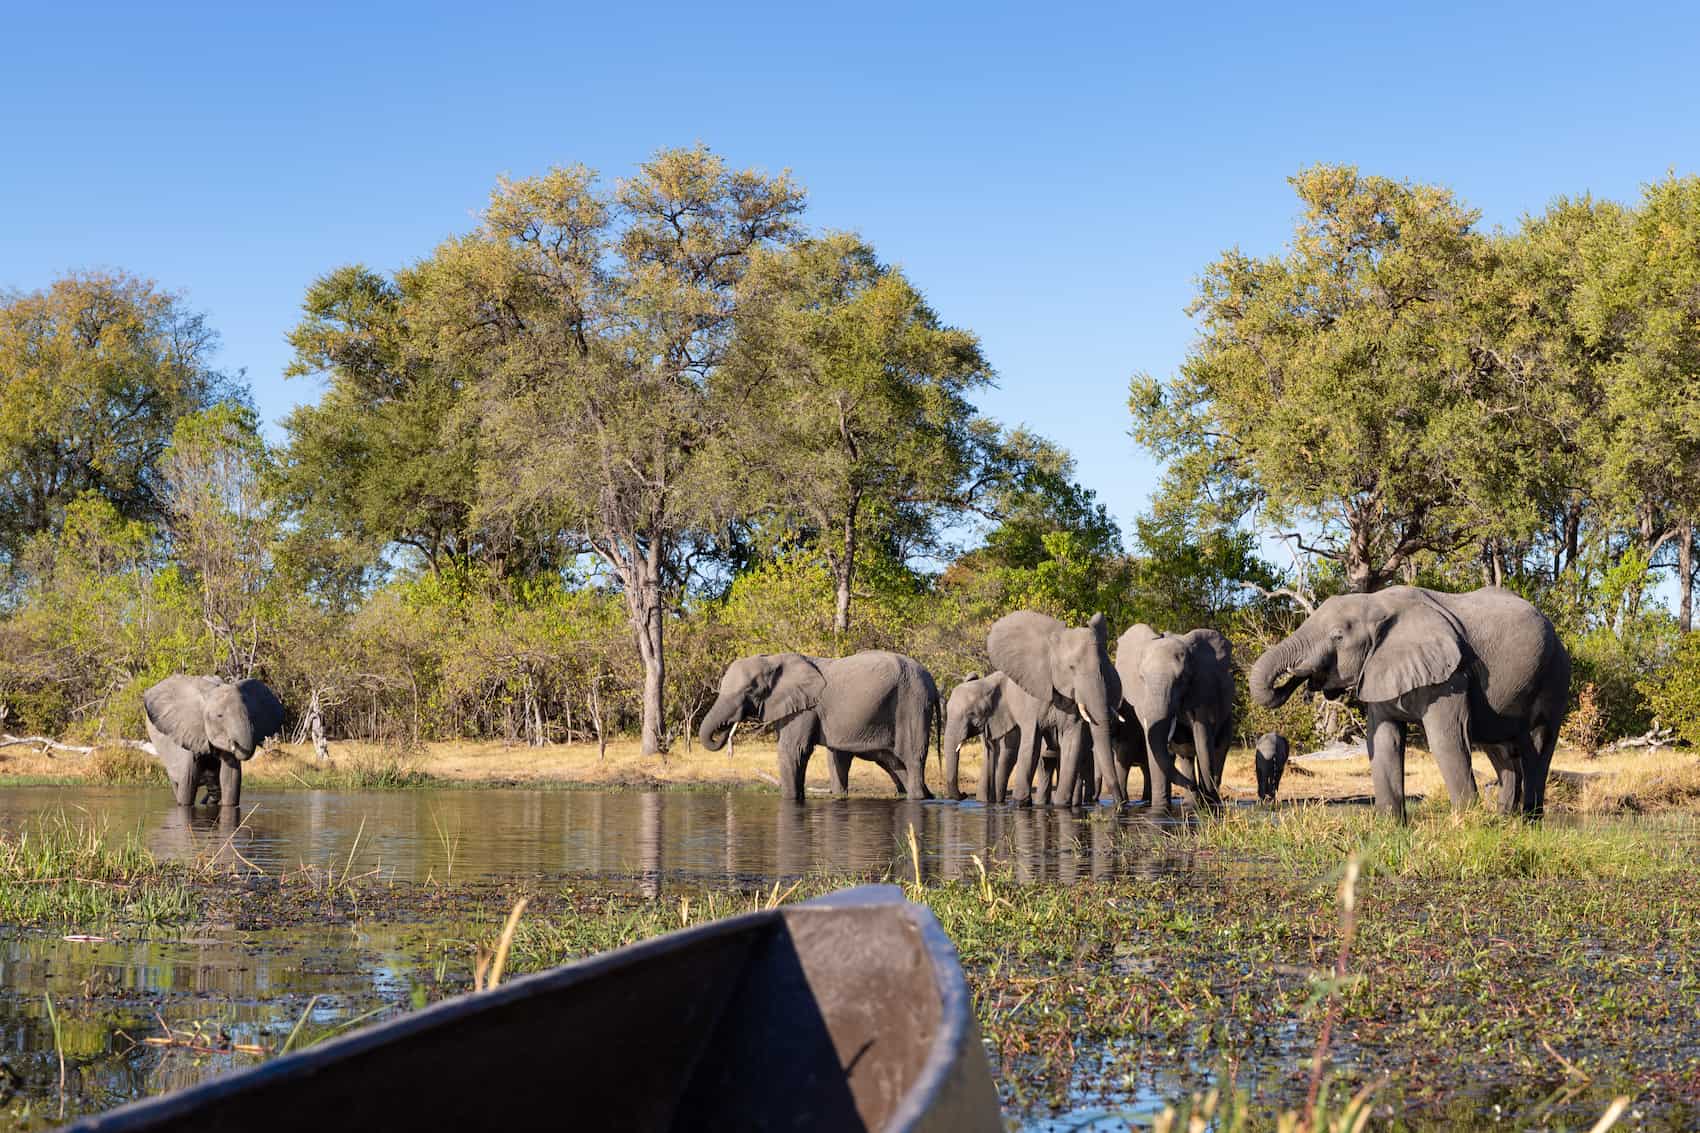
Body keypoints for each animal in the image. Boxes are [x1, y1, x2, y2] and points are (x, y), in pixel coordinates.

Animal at [698, 651, 939, 802]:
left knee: (912, 756)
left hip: (913, 703)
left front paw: (790, 800)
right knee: (894, 762)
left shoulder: (805, 708)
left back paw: (918, 798)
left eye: (749, 690)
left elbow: (793, 750)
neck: (774, 660)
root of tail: (932, 682)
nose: (726, 728)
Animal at [941, 672, 1067, 803]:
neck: (988, 683)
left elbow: (1008, 754)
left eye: (971, 713)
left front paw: (997, 802)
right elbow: (990, 753)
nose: (964, 794)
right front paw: (986, 802)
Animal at [985, 611, 1125, 806]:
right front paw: (1021, 803)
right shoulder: (1034, 692)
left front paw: (1061, 805)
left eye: (1104, 668)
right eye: (1071, 667)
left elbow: (1072, 744)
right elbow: (1031, 745)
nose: (1120, 805)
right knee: (1043, 761)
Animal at [1113, 625, 1232, 809]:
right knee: (1186, 754)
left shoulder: (1204, 690)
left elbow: (1203, 738)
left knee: (1219, 748)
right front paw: (1160, 808)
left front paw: (1209, 805)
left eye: (1182, 678)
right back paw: (1191, 802)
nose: (1195, 787)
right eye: (1142, 678)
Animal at [1249, 585, 1571, 818]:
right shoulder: (1379, 668)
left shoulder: (1451, 676)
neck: (1377, 604)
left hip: (1555, 676)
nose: (1300, 677)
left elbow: (1447, 740)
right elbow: (1383, 742)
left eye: (1337, 636)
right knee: (1501, 749)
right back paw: (1506, 820)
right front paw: (1390, 828)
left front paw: (1470, 827)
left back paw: (1530, 821)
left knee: (1538, 745)